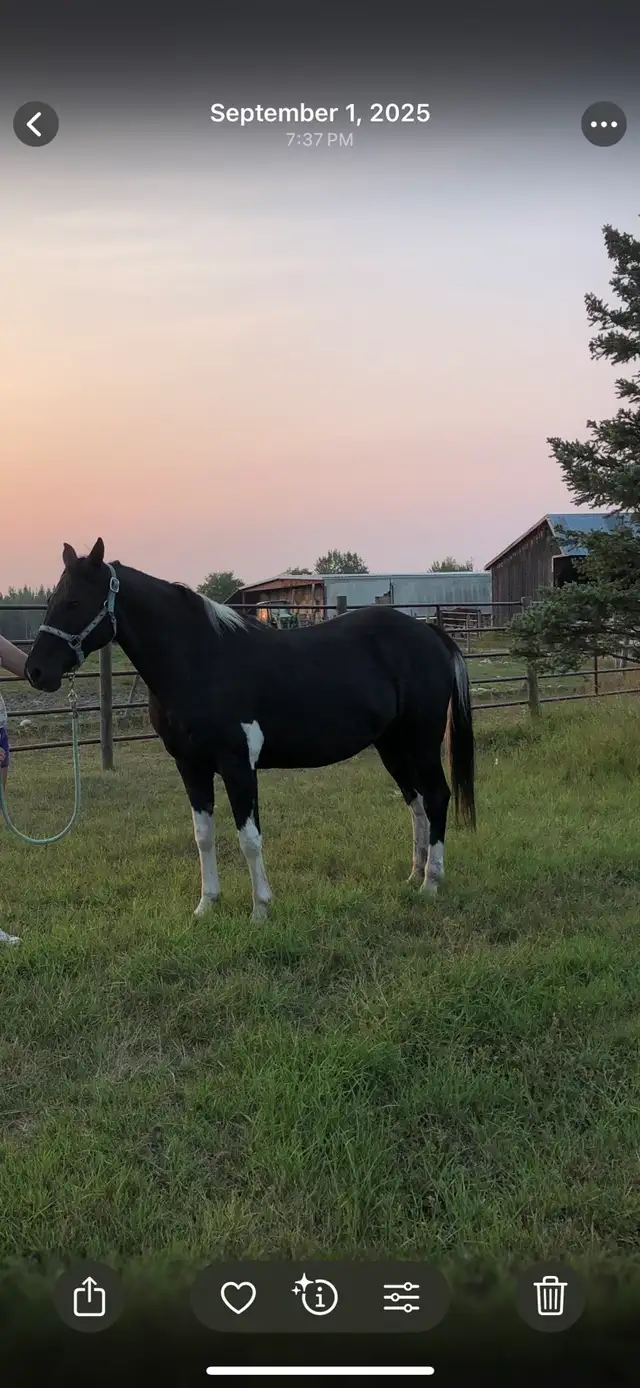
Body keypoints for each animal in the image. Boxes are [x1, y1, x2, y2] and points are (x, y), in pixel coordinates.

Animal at [26, 540, 476, 921]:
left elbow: (249, 838)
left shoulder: (238, 765)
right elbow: (203, 836)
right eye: (51, 601)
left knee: (437, 796)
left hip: (421, 740)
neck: (200, 661)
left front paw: (260, 909)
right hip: (392, 744)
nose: (35, 671)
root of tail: (429, 633)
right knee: (416, 802)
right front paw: (206, 905)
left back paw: (431, 883)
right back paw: (414, 874)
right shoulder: (191, 766)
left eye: (75, 601)